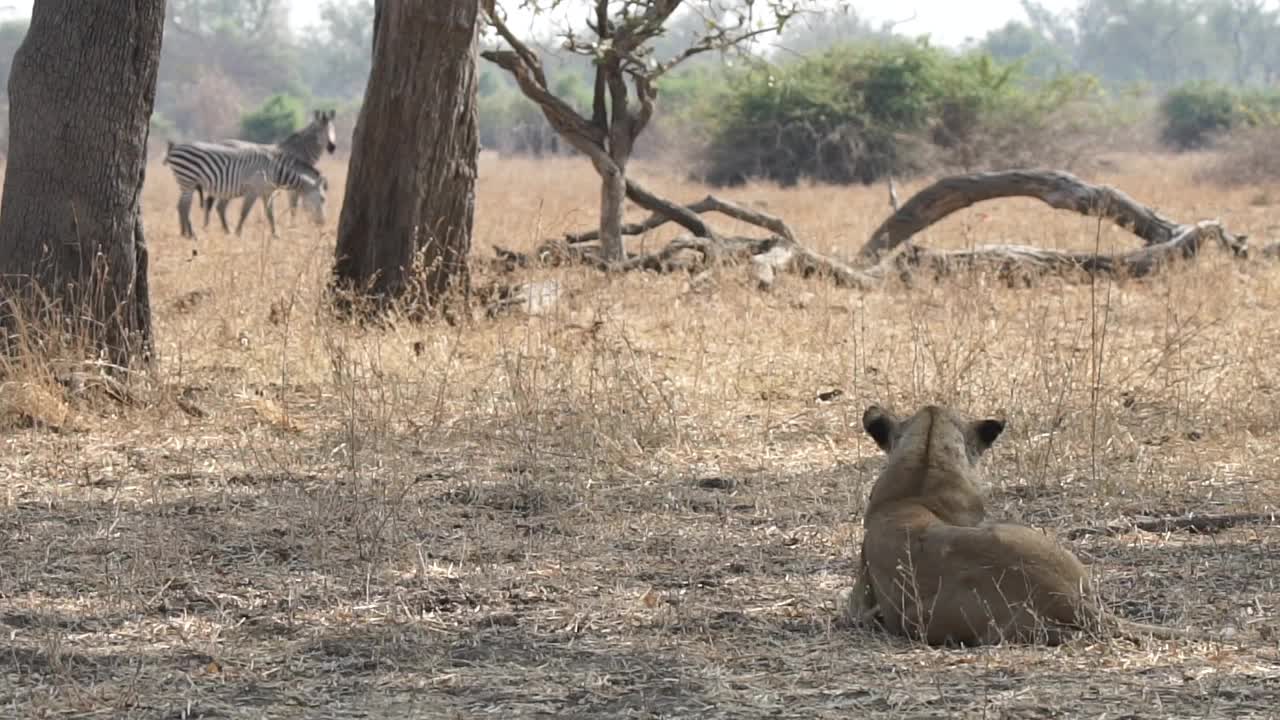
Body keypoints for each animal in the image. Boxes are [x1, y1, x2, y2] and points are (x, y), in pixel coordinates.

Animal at [162, 140, 330, 238]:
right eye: (323, 199)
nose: (322, 223)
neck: (274, 171)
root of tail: (175, 146)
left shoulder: (267, 193)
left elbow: (270, 214)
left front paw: (275, 234)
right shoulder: (253, 190)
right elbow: (245, 212)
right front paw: (238, 233)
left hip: (186, 182)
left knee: (181, 206)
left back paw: (185, 233)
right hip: (188, 180)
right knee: (185, 207)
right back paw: (191, 234)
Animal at [200, 109, 337, 229]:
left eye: (333, 129)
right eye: (320, 131)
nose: (332, 147)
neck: (298, 151)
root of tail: (219, 143)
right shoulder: (293, 187)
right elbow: (293, 207)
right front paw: (293, 226)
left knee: (216, 205)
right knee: (213, 204)